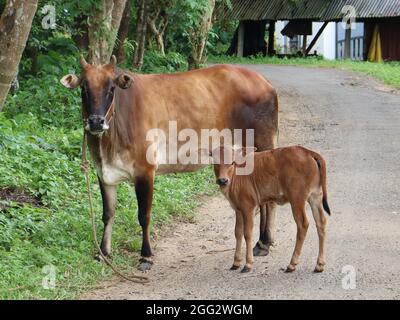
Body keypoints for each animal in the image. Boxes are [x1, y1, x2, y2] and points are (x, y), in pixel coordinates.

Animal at [60, 55, 278, 270]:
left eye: (111, 88)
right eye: (84, 88)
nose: (96, 122)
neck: (107, 144)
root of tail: (265, 82)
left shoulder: (145, 170)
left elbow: (144, 215)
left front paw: (146, 256)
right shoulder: (104, 172)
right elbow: (107, 213)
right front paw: (103, 252)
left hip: (262, 145)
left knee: (268, 199)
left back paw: (263, 244)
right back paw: (262, 242)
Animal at [208, 146, 330, 274]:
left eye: (232, 162)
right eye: (215, 162)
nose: (223, 180)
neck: (236, 175)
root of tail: (307, 152)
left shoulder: (248, 207)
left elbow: (247, 233)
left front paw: (248, 264)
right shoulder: (238, 209)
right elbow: (238, 232)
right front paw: (236, 263)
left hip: (297, 199)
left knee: (303, 225)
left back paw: (292, 264)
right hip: (315, 196)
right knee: (321, 222)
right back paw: (319, 264)